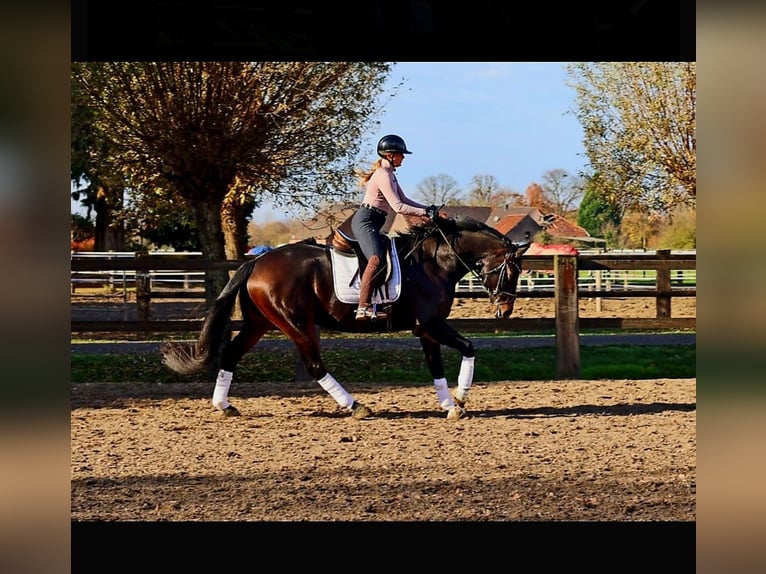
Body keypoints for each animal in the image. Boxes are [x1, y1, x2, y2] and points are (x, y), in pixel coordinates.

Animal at [161, 214, 530, 421]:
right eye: (512, 271)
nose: (505, 309)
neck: (434, 262)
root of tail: (258, 261)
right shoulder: (430, 324)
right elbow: (468, 347)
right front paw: (461, 398)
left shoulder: (426, 330)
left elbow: (435, 366)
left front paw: (450, 404)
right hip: (296, 324)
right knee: (314, 366)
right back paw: (356, 407)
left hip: (259, 323)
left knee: (230, 354)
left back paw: (224, 406)